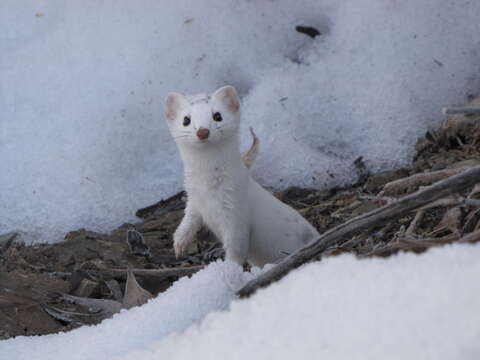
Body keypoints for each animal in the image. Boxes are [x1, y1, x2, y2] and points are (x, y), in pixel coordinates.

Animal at [165, 85, 318, 268]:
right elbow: (189, 219)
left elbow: (236, 247)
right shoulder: (194, 199)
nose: (203, 131)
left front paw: (227, 269)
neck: (208, 189)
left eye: (217, 115)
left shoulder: (236, 211)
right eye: (186, 119)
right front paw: (180, 243)